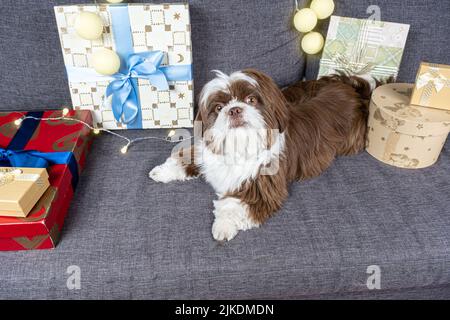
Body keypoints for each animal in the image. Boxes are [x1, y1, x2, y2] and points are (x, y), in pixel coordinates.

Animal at [149, 69, 370, 240]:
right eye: (219, 107)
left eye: (251, 99)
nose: (234, 109)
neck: (241, 142)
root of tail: (351, 90)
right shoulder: (209, 152)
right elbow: (188, 156)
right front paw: (162, 171)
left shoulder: (262, 185)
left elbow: (233, 204)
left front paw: (222, 227)